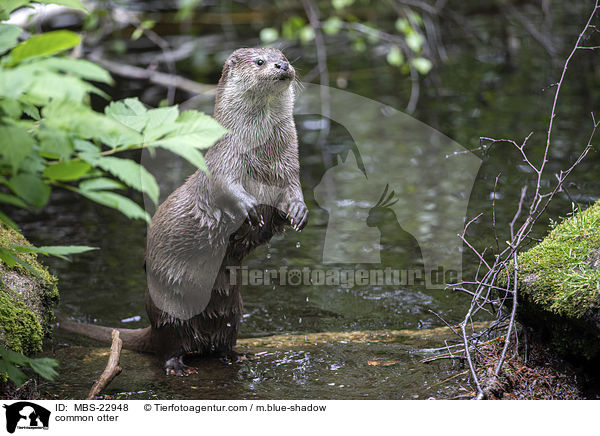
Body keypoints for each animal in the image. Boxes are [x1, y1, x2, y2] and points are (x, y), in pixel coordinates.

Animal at [61, 48, 310, 374]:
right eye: (260, 62)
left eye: (284, 56)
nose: (282, 65)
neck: (263, 160)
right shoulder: (225, 160)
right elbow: (226, 187)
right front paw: (250, 208)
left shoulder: (289, 168)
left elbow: (293, 192)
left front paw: (299, 211)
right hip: (170, 311)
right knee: (168, 345)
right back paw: (177, 366)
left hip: (234, 310)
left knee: (222, 341)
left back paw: (235, 355)